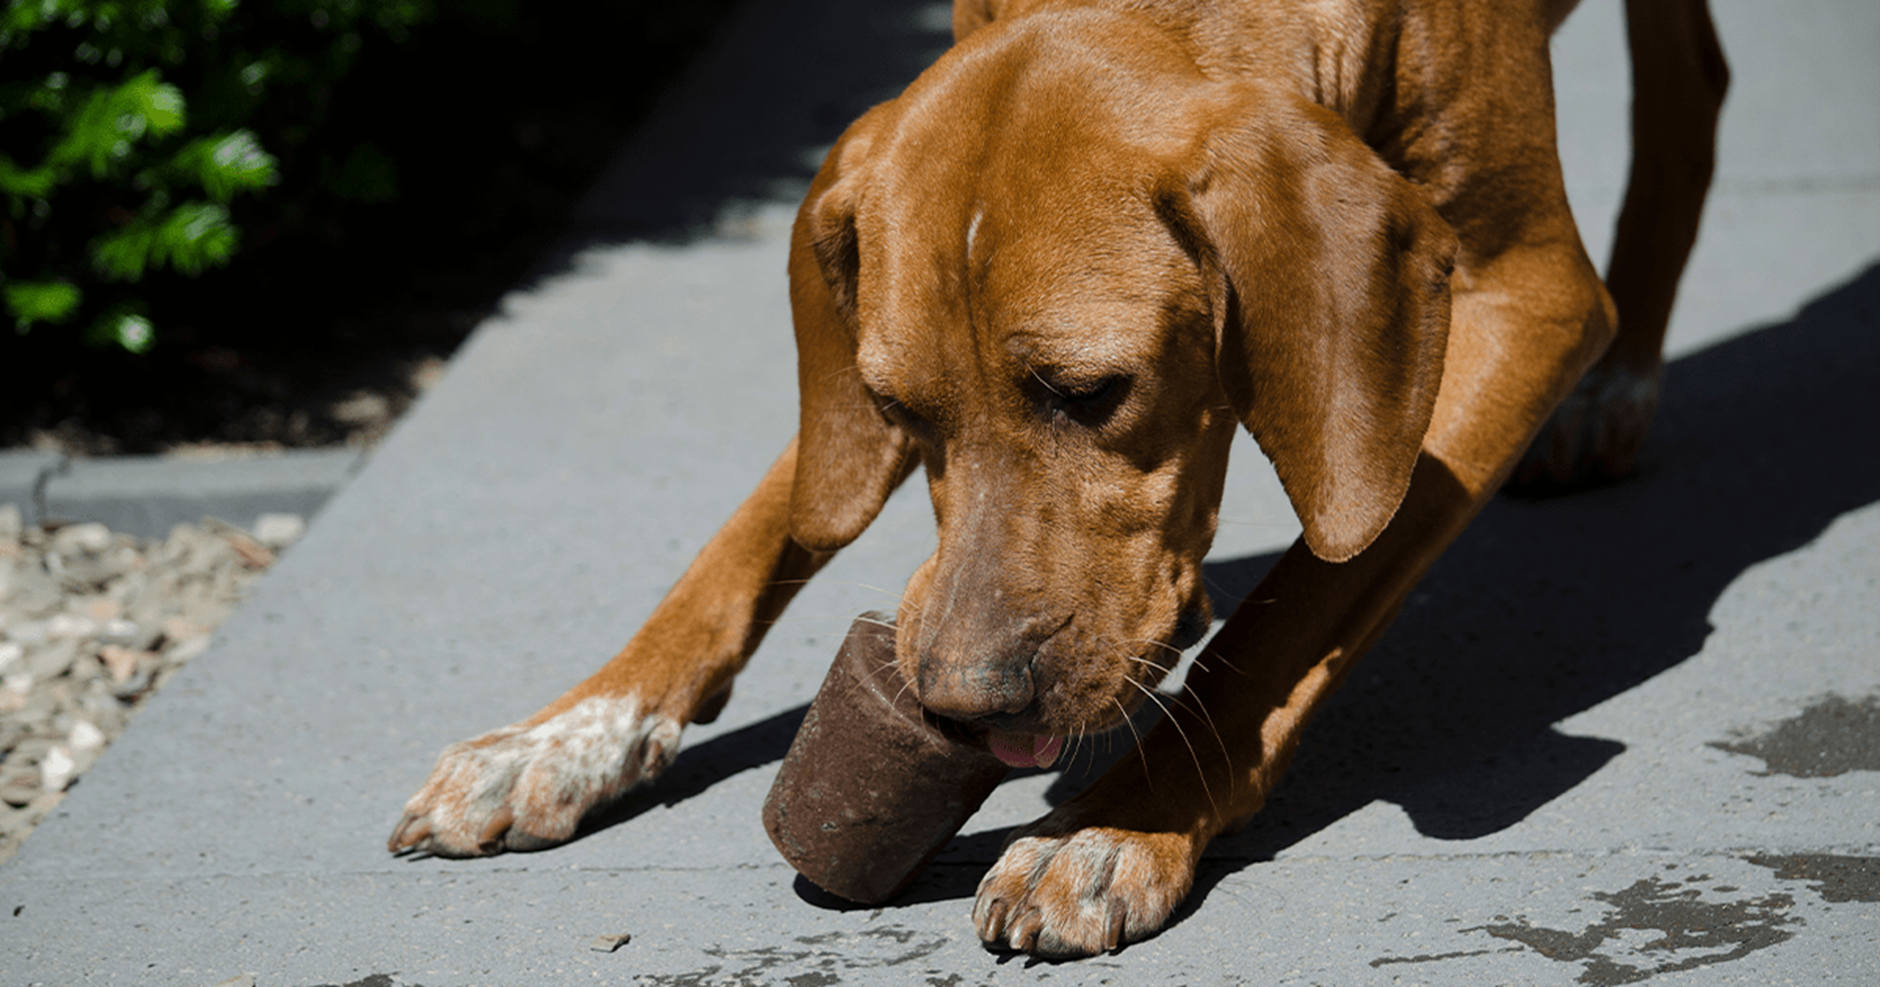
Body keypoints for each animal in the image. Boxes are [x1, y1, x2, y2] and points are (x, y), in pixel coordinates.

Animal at [390, 0, 1727, 957]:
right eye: (896, 408)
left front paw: (1117, 825)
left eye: (1090, 394)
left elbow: (1290, 611)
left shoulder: (1521, 296)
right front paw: (569, 731)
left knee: (1689, 81)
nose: (961, 705)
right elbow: (765, 521)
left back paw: (1616, 390)